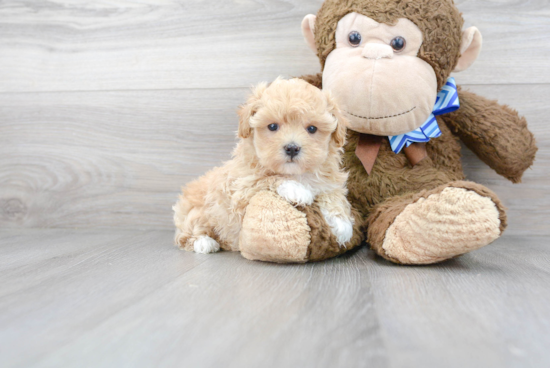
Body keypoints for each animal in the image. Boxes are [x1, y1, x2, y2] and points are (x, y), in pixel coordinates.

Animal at [175, 77, 356, 254]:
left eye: (312, 128)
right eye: (273, 126)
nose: (292, 148)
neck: (296, 173)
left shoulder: (327, 181)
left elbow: (333, 194)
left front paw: (342, 224)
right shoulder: (240, 189)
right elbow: (267, 179)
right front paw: (296, 189)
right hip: (197, 213)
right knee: (185, 234)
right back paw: (203, 242)